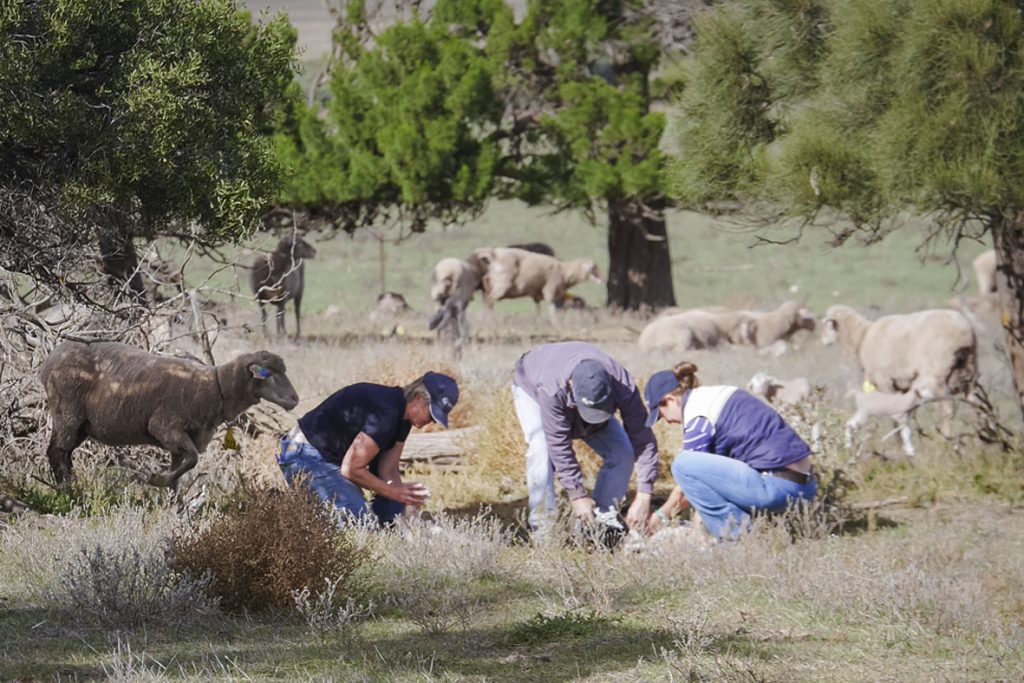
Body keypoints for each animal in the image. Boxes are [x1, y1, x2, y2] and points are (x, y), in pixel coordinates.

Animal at [41, 342, 299, 491]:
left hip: (80, 425)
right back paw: (68, 492)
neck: (214, 387)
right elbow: (193, 459)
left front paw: (175, 505)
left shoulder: (183, 440)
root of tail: (49, 360)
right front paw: (158, 480)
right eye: (268, 374)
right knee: (57, 452)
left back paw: (71, 486)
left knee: (63, 453)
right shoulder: (165, 427)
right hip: (67, 414)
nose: (295, 399)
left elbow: (183, 468)